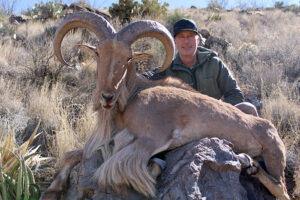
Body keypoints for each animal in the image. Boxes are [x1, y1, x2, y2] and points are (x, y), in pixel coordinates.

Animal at [41, 11, 288, 199]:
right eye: (98, 53)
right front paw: (52, 190)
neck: (134, 96)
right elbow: (74, 155)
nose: (107, 97)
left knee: (281, 189)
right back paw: (249, 162)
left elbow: (114, 173)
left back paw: (250, 164)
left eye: (129, 57)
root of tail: (268, 126)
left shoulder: (152, 138)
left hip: (274, 153)